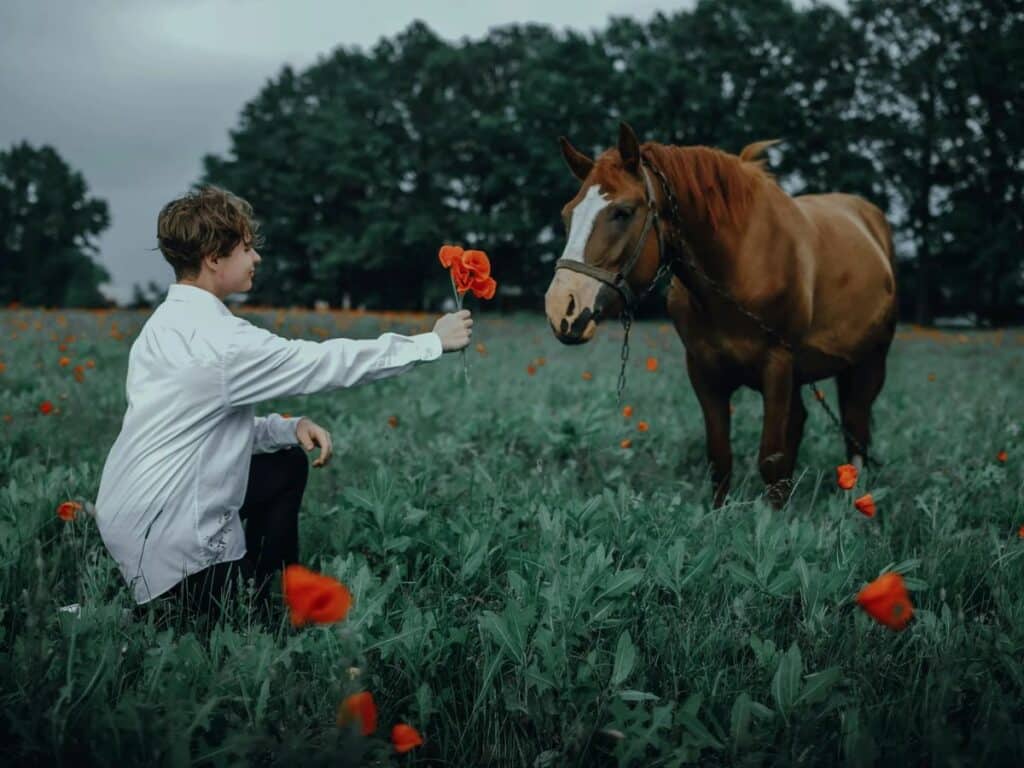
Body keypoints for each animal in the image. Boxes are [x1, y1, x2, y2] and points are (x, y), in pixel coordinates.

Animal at [544, 123, 897, 507]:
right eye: (566, 214)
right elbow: (720, 457)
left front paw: (774, 520)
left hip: (869, 363)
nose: (562, 307)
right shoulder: (704, 371)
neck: (739, 264)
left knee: (855, 426)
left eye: (622, 212)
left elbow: (771, 458)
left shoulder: (778, 365)